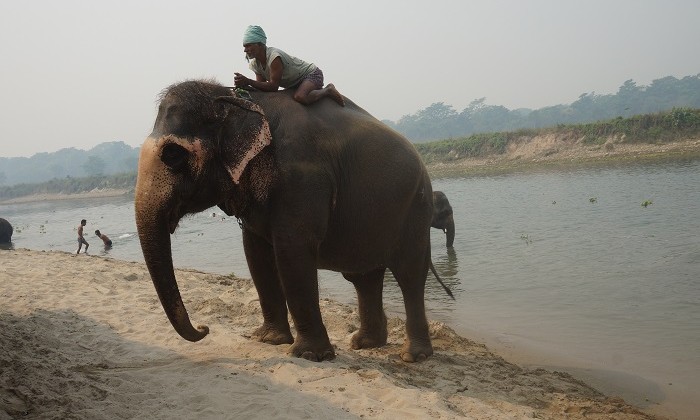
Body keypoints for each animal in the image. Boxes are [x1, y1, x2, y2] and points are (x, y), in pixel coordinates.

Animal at [137, 80, 440, 362]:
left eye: (173, 155)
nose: (204, 328)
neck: (240, 101)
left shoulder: (302, 178)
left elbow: (292, 251)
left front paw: (309, 355)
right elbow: (256, 253)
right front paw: (268, 340)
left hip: (416, 207)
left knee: (409, 274)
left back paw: (413, 356)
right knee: (364, 276)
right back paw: (365, 344)